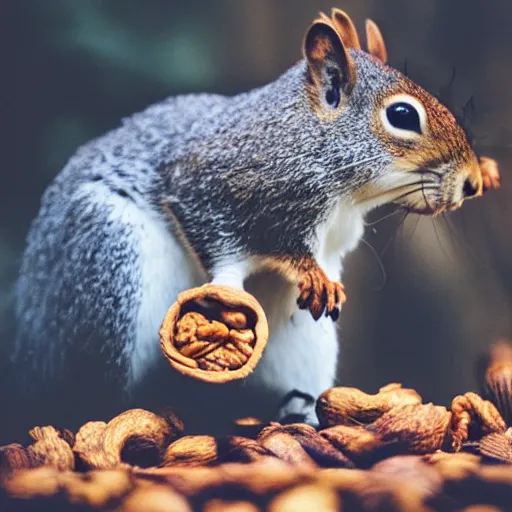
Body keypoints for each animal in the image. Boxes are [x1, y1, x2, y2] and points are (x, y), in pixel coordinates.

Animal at [11, 8, 500, 432]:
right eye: (402, 115)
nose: (470, 182)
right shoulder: (210, 186)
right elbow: (219, 244)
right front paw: (284, 278)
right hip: (108, 262)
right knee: (94, 396)